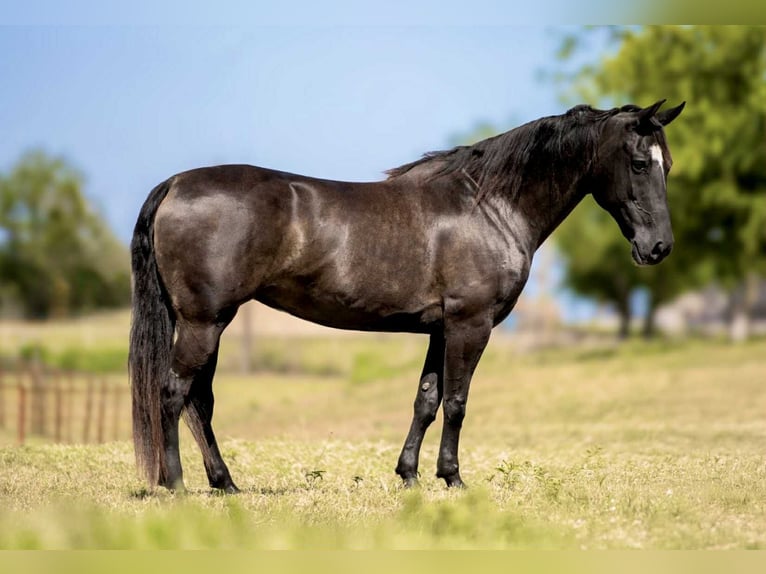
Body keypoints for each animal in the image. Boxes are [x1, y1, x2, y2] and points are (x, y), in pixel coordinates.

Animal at [129, 100, 685, 493]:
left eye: (670, 165)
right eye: (640, 163)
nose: (659, 247)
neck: (490, 205)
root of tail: (175, 184)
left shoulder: (441, 328)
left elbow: (427, 399)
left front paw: (410, 474)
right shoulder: (469, 325)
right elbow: (457, 402)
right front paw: (453, 477)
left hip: (209, 322)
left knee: (199, 400)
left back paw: (225, 484)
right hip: (204, 321)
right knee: (174, 393)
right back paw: (176, 484)